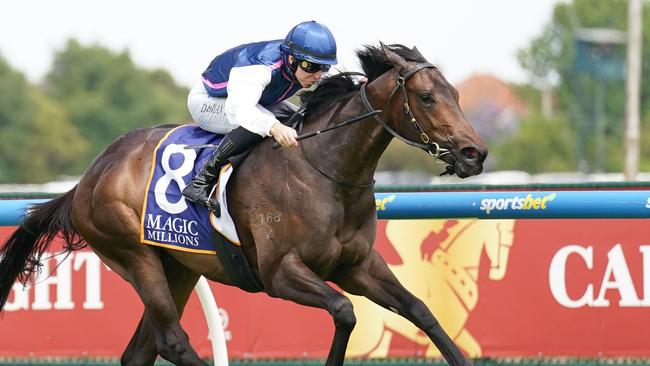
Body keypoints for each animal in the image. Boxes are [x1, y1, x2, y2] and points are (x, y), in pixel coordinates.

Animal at [0, 43, 484, 366]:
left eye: (457, 94)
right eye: (426, 97)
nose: (473, 153)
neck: (324, 170)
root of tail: (88, 177)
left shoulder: (359, 265)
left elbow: (420, 310)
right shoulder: (279, 272)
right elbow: (345, 312)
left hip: (178, 265)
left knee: (143, 350)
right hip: (134, 255)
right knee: (172, 341)